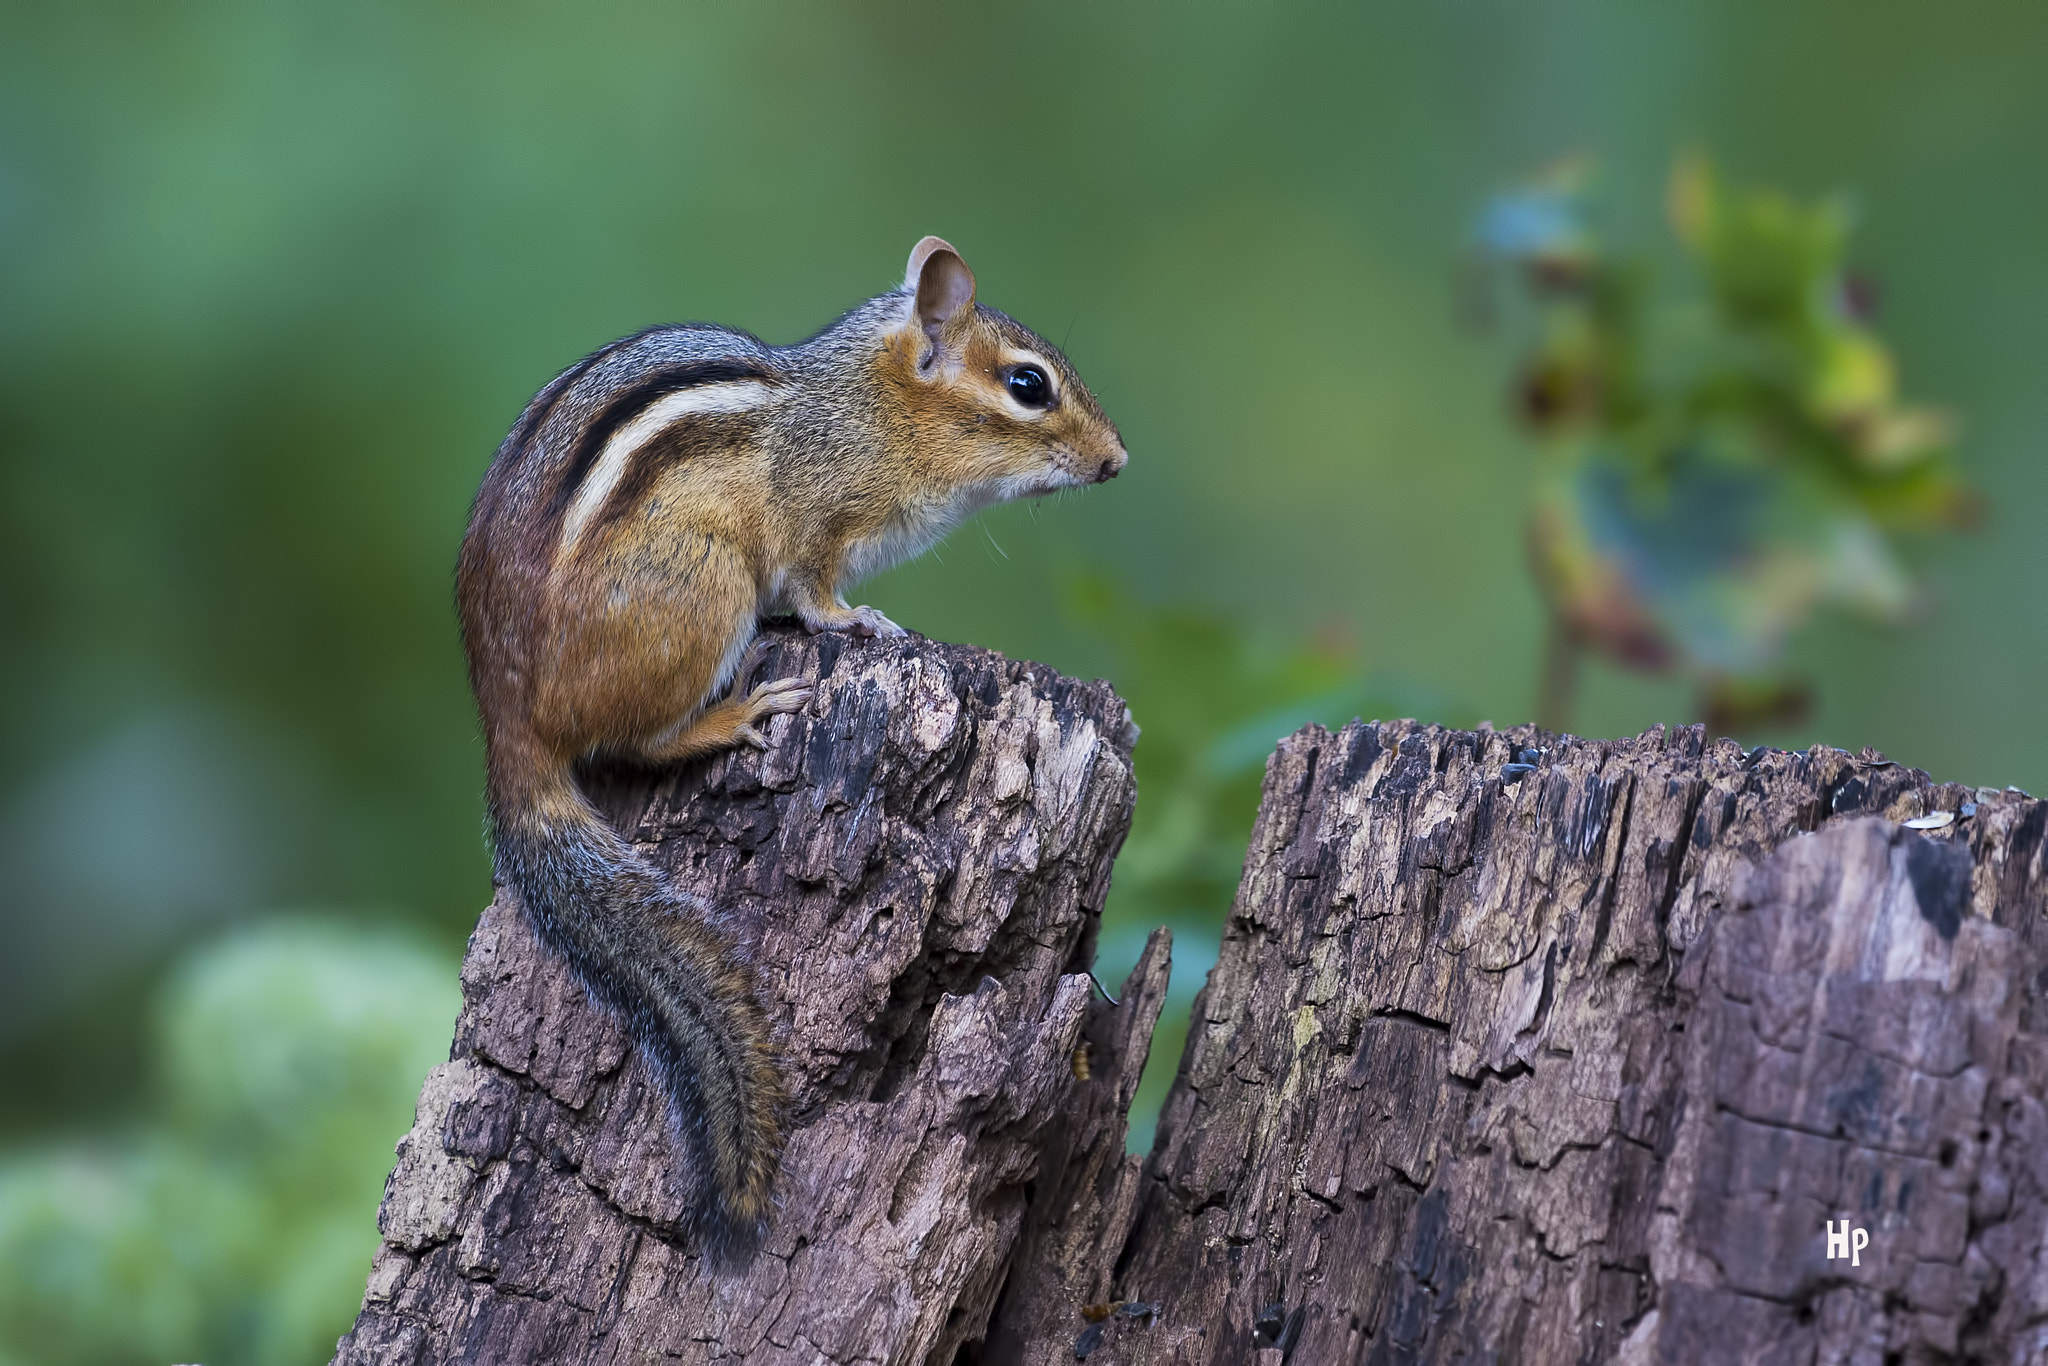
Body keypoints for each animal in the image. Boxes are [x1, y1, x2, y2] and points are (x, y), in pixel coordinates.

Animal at [455, 236, 1127, 1258]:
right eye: (1028, 384)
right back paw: (734, 715)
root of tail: (508, 725)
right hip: (706, 586)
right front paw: (863, 623)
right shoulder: (819, 531)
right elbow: (817, 595)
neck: (873, 410)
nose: (1117, 460)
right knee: (635, 745)